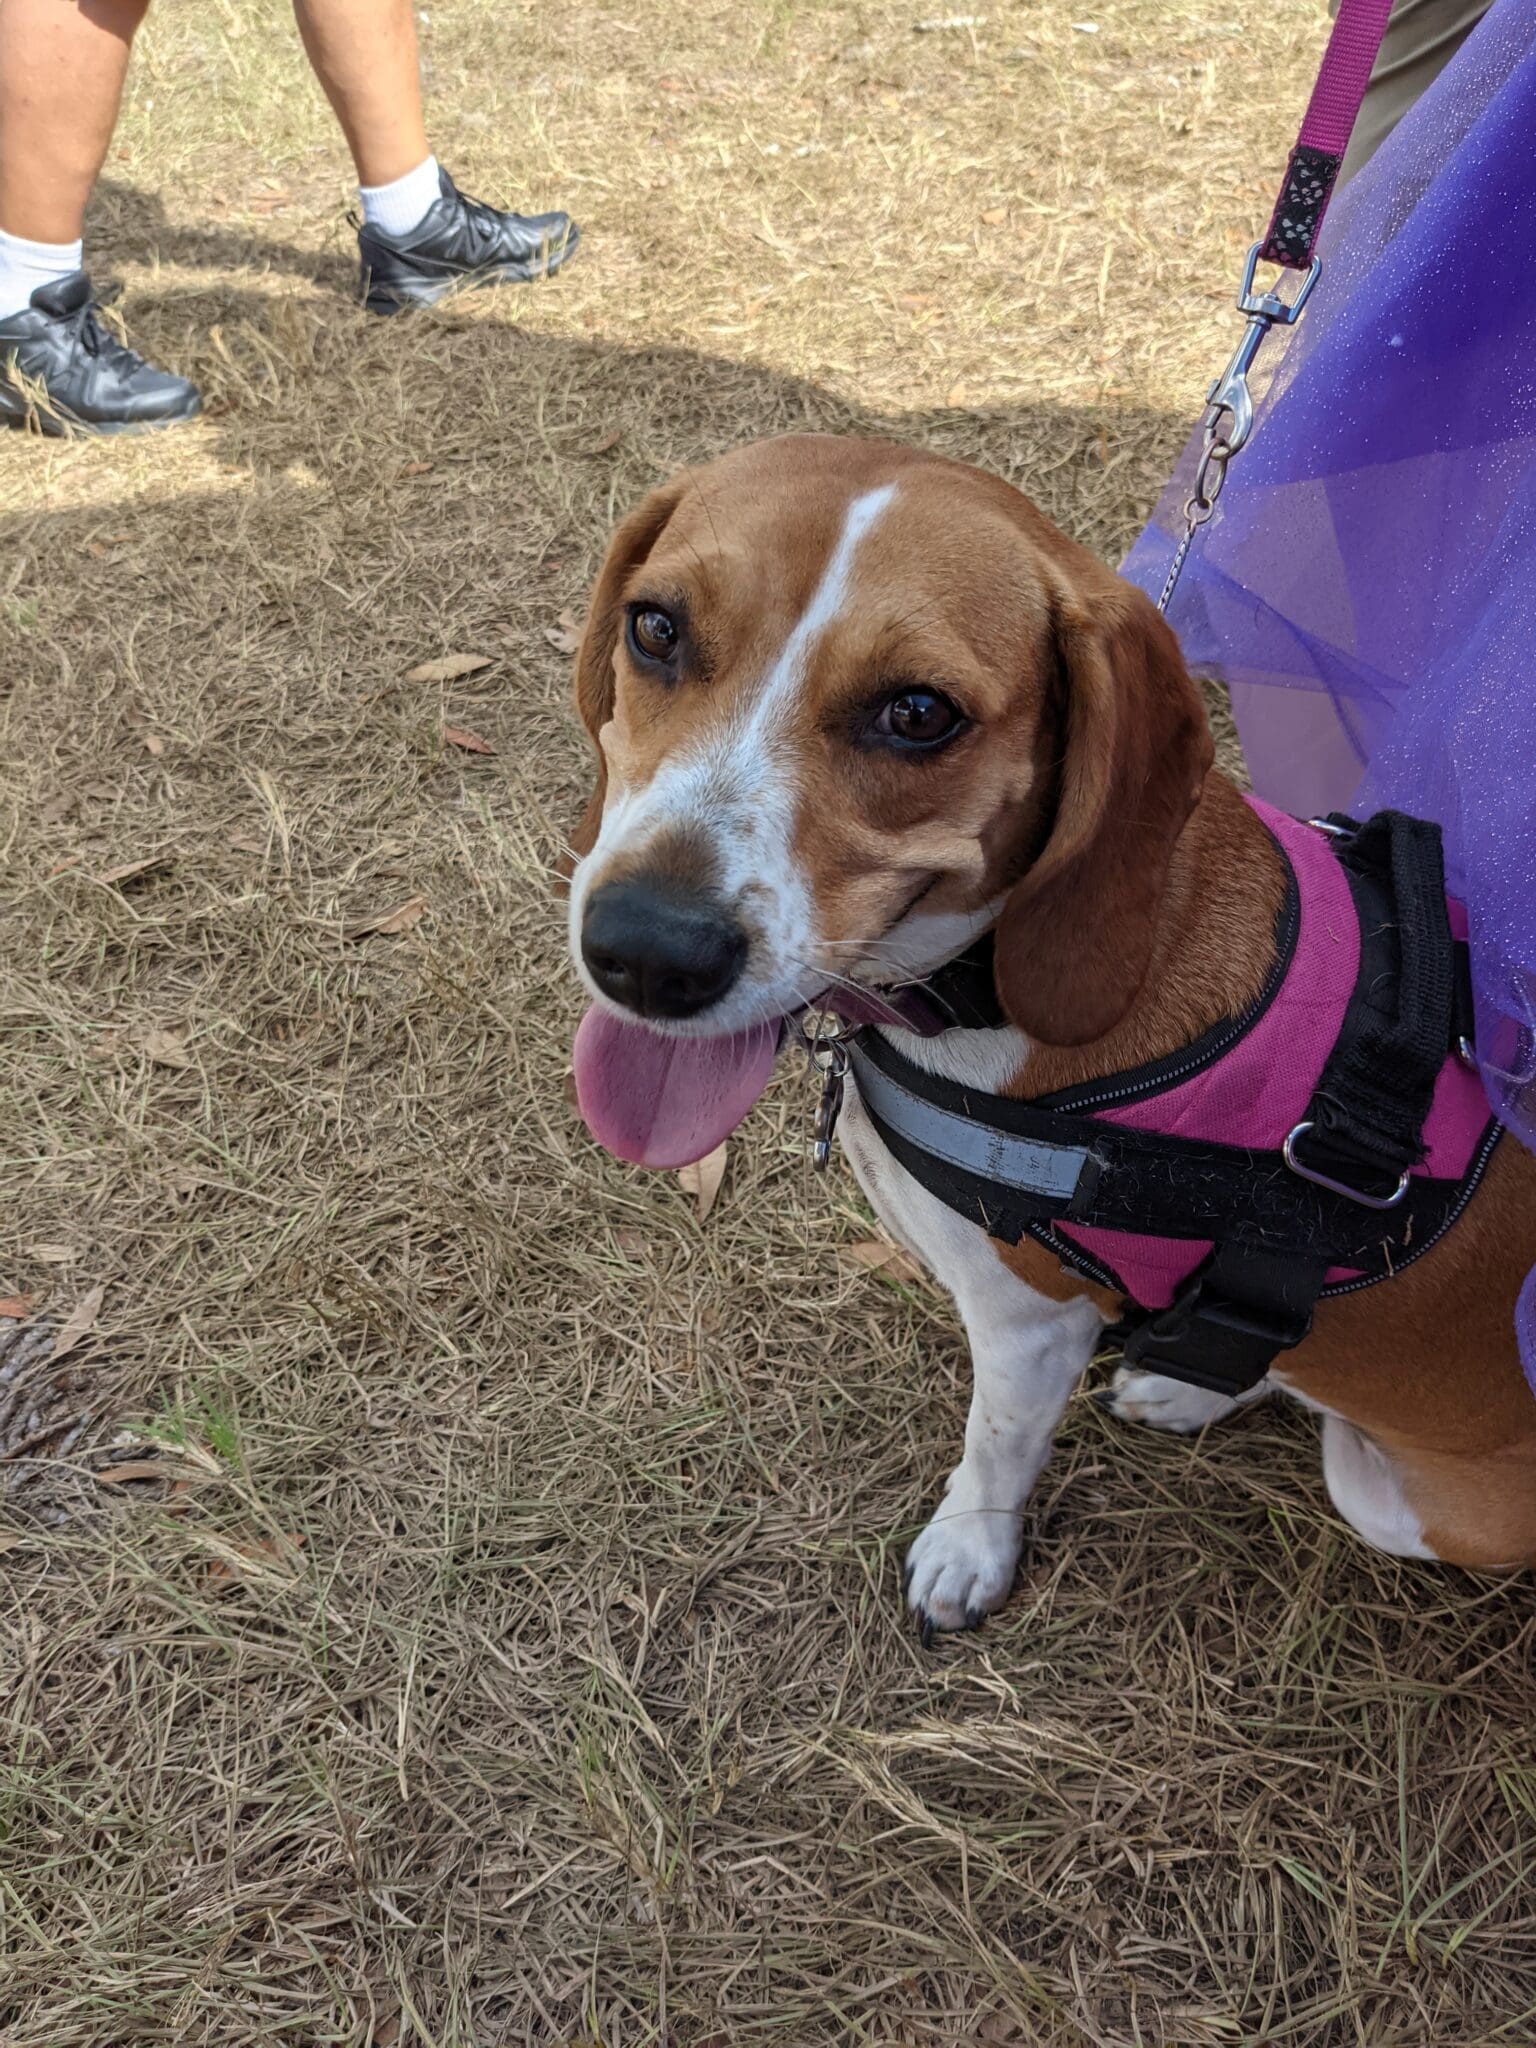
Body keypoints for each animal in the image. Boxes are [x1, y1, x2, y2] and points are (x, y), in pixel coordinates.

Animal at [561, 432, 1536, 1630]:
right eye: (656, 629)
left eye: (918, 713)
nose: (647, 952)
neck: (977, 982)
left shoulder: (1030, 1325)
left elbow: (995, 1447)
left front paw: (967, 1552)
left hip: (1410, 1502)